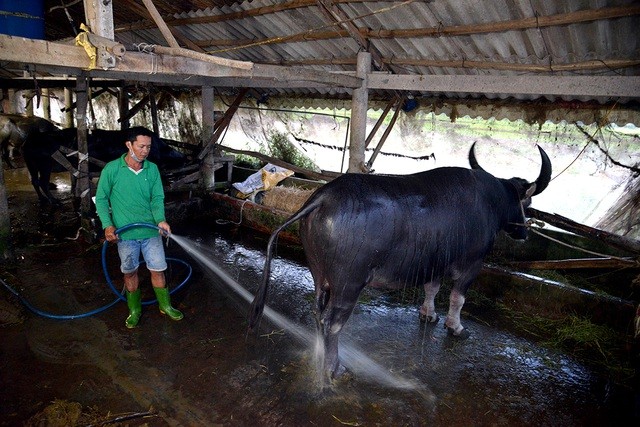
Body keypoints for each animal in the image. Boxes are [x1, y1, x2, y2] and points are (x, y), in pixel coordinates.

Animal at [23, 126, 192, 205]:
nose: (184, 159)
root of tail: (27, 142)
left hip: (32, 164)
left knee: (34, 181)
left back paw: (43, 200)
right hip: (44, 164)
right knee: (43, 182)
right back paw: (54, 201)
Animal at [250, 145, 552, 384]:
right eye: (528, 203)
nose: (524, 233)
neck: (491, 201)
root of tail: (322, 198)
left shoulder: (434, 263)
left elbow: (432, 289)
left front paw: (429, 315)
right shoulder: (472, 263)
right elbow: (457, 298)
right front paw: (456, 328)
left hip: (320, 275)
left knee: (317, 311)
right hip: (348, 284)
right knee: (331, 322)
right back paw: (335, 369)